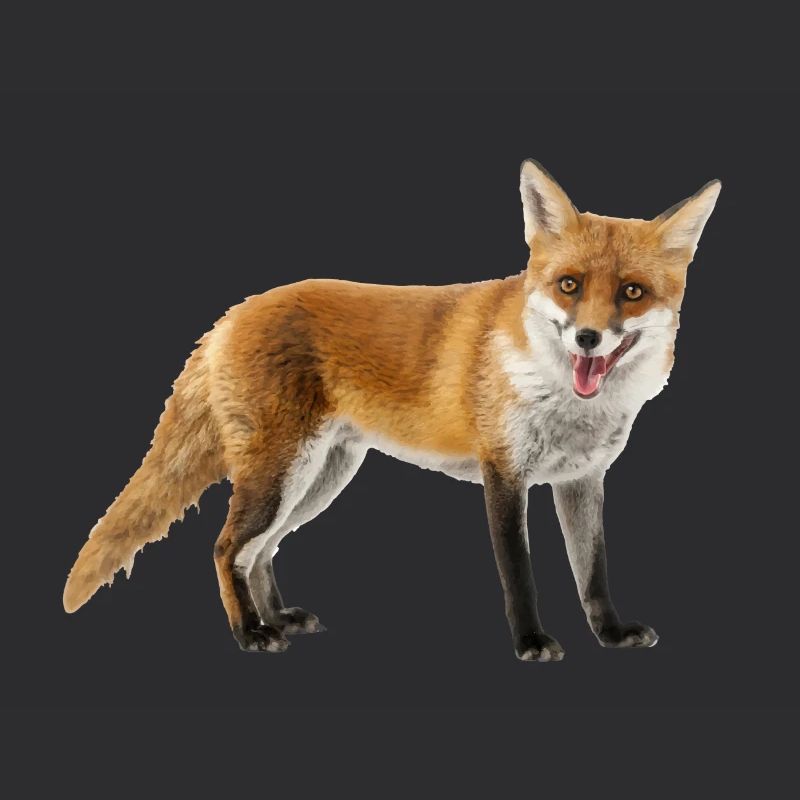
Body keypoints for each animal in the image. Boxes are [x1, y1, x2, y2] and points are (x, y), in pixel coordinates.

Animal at [64, 160, 720, 661]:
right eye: (569, 285)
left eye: (631, 292)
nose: (587, 338)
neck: (562, 397)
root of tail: (232, 313)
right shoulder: (503, 474)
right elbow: (520, 576)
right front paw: (531, 642)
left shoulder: (582, 479)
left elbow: (594, 571)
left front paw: (609, 634)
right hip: (281, 475)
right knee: (227, 548)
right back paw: (250, 632)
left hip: (320, 477)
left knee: (262, 551)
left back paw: (278, 617)